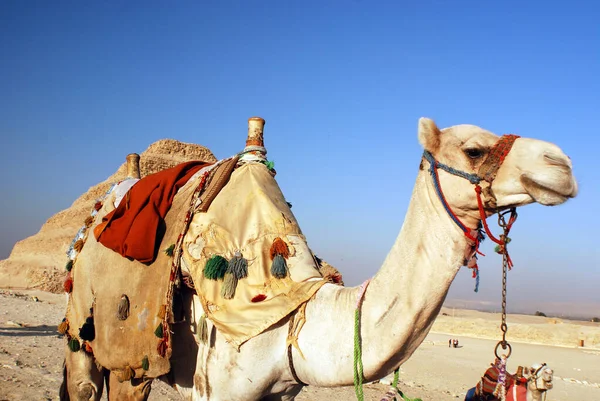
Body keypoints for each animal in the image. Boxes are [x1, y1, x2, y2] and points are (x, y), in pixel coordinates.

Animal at [59, 114, 576, 398]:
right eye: (473, 149)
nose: (562, 164)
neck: (293, 311)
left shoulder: (281, 393)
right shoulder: (216, 386)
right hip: (93, 328)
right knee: (89, 382)